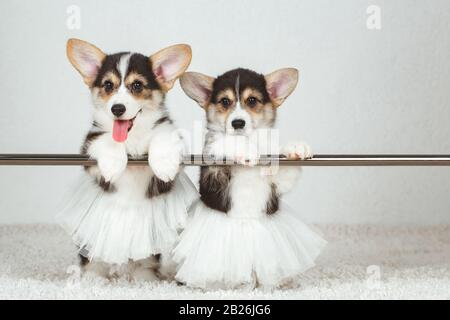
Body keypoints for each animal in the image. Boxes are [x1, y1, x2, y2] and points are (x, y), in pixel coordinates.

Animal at [57, 39, 198, 280]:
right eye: (107, 85)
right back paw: (93, 277)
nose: (117, 109)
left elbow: (162, 137)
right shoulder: (89, 146)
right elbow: (106, 140)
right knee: (93, 259)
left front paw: (164, 165)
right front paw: (114, 164)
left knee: (145, 262)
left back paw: (145, 279)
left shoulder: (169, 134)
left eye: (138, 86)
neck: (132, 136)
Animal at [173, 68, 326, 290]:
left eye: (252, 100)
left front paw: (295, 147)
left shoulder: (278, 183)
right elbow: (224, 143)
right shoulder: (212, 178)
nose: (238, 123)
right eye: (225, 101)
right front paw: (244, 149)